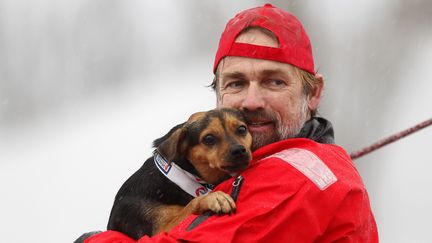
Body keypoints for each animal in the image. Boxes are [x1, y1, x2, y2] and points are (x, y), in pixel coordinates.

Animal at [106, 107, 251, 239]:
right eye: (209, 138)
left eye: (242, 129)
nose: (239, 150)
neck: (181, 175)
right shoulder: (161, 228)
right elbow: (193, 203)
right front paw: (213, 197)